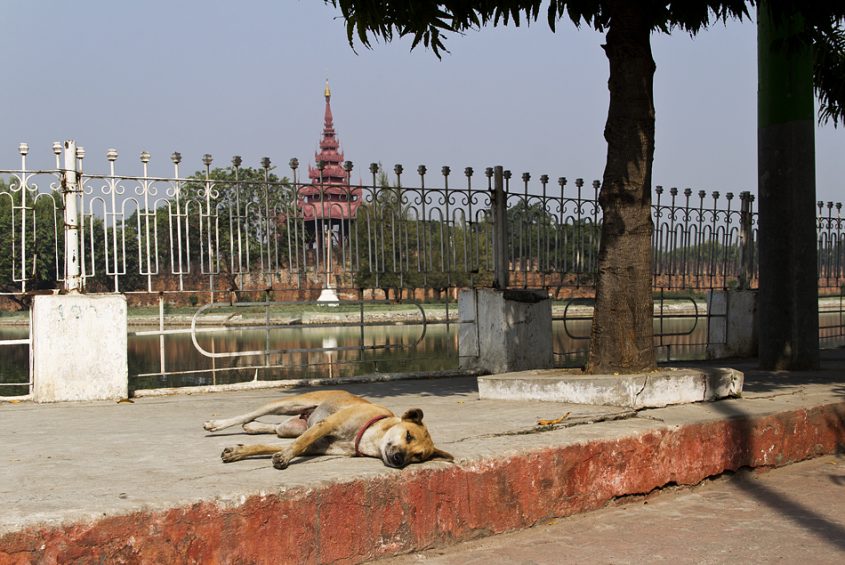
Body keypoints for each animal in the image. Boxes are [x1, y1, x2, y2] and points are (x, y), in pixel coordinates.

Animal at [201, 390, 452, 470]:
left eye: (418, 457)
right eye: (408, 435)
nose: (399, 459)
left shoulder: (315, 445)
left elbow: (272, 445)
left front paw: (238, 451)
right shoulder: (326, 426)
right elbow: (298, 444)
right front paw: (283, 458)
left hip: (291, 427)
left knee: (274, 428)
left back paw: (253, 427)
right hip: (289, 403)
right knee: (248, 414)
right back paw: (216, 424)